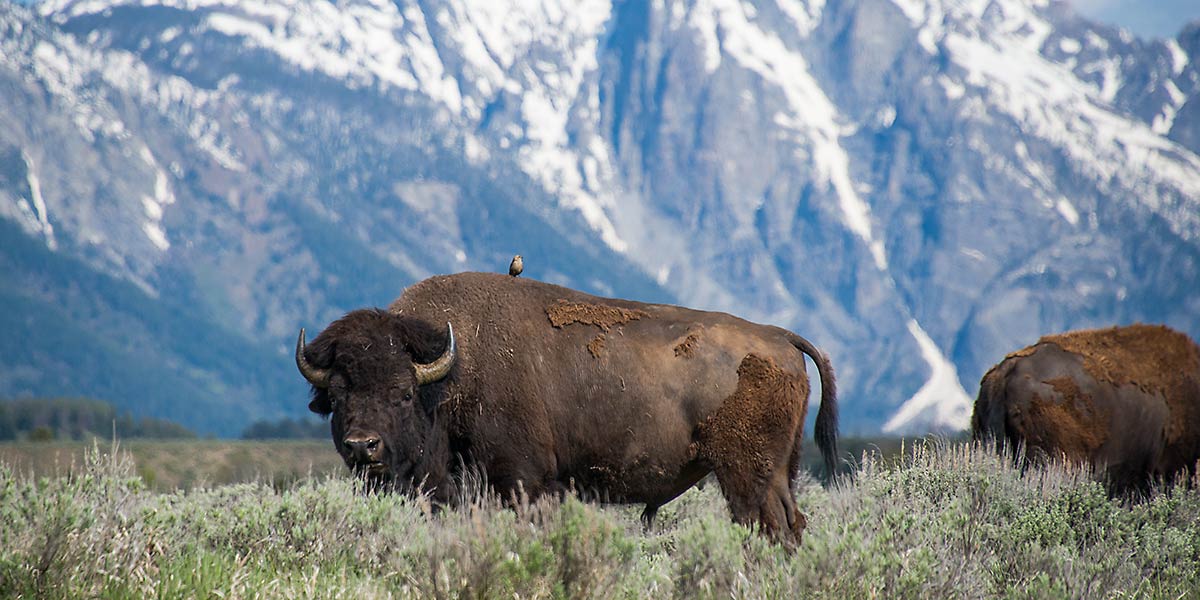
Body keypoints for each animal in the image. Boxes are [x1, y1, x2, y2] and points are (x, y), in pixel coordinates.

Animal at [296, 272, 838, 544]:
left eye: (403, 393)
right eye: (337, 397)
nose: (363, 446)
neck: (451, 372)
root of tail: (778, 337)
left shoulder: (524, 482)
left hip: (745, 474)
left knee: (767, 527)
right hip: (777, 472)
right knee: (790, 525)